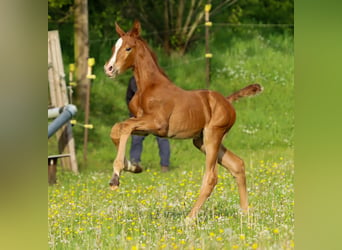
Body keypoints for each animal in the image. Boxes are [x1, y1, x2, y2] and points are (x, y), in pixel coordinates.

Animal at [104, 21, 262, 219]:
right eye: (113, 47)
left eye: (127, 48)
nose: (109, 69)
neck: (149, 86)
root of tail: (227, 101)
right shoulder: (143, 124)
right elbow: (117, 128)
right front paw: (132, 166)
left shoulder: (157, 124)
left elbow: (124, 127)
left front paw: (116, 175)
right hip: (201, 141)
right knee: (237, 164)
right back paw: (246, 214)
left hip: (213, 136)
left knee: (211, 177)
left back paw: (189, 219)